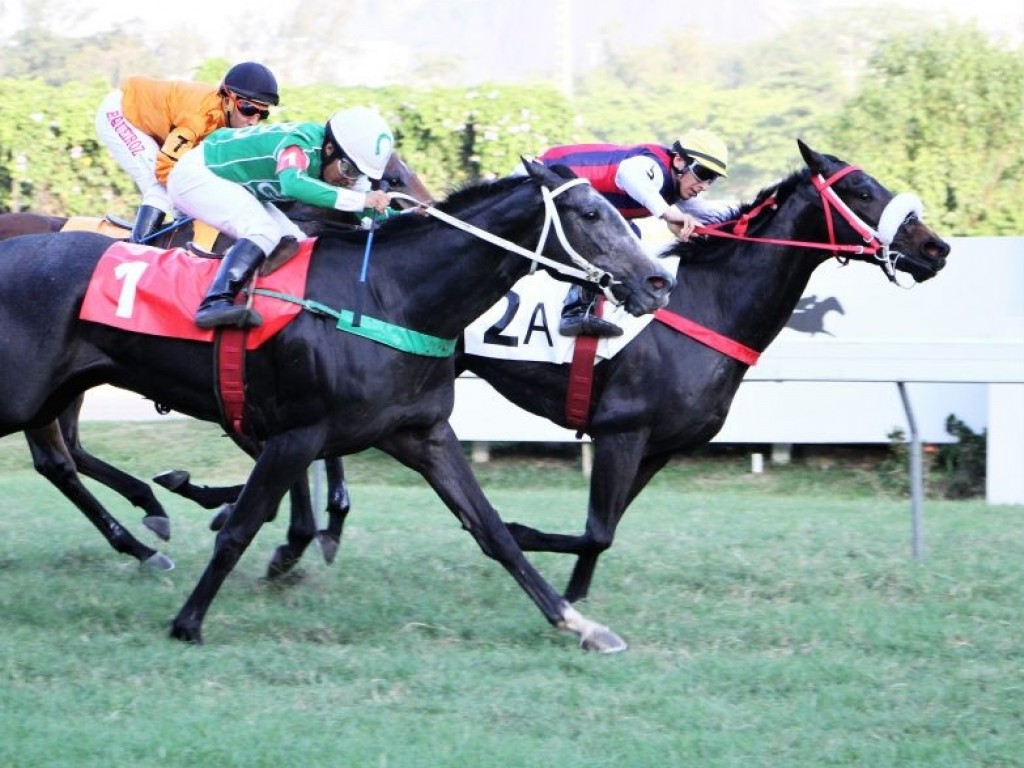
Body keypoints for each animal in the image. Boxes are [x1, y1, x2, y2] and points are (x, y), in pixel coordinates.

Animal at [0, 160, 671, 651]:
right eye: (591, 213)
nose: (658, 282)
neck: (387, 295)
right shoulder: (297, 432)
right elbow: (242, 526)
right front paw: (188, 621)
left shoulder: (422, 432)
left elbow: (493, 531)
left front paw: (579, 624)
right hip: (24, 395)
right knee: (59, 459)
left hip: (55, 393)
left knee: (61, 459)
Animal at [176, 140, 950, 606]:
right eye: (866, 191)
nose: (937, 248)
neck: (708, 302)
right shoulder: (621, 429)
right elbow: (594, 530)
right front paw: (525, 539)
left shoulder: (657, 445)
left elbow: (600, 531)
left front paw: (569, 599)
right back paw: (232, 505)